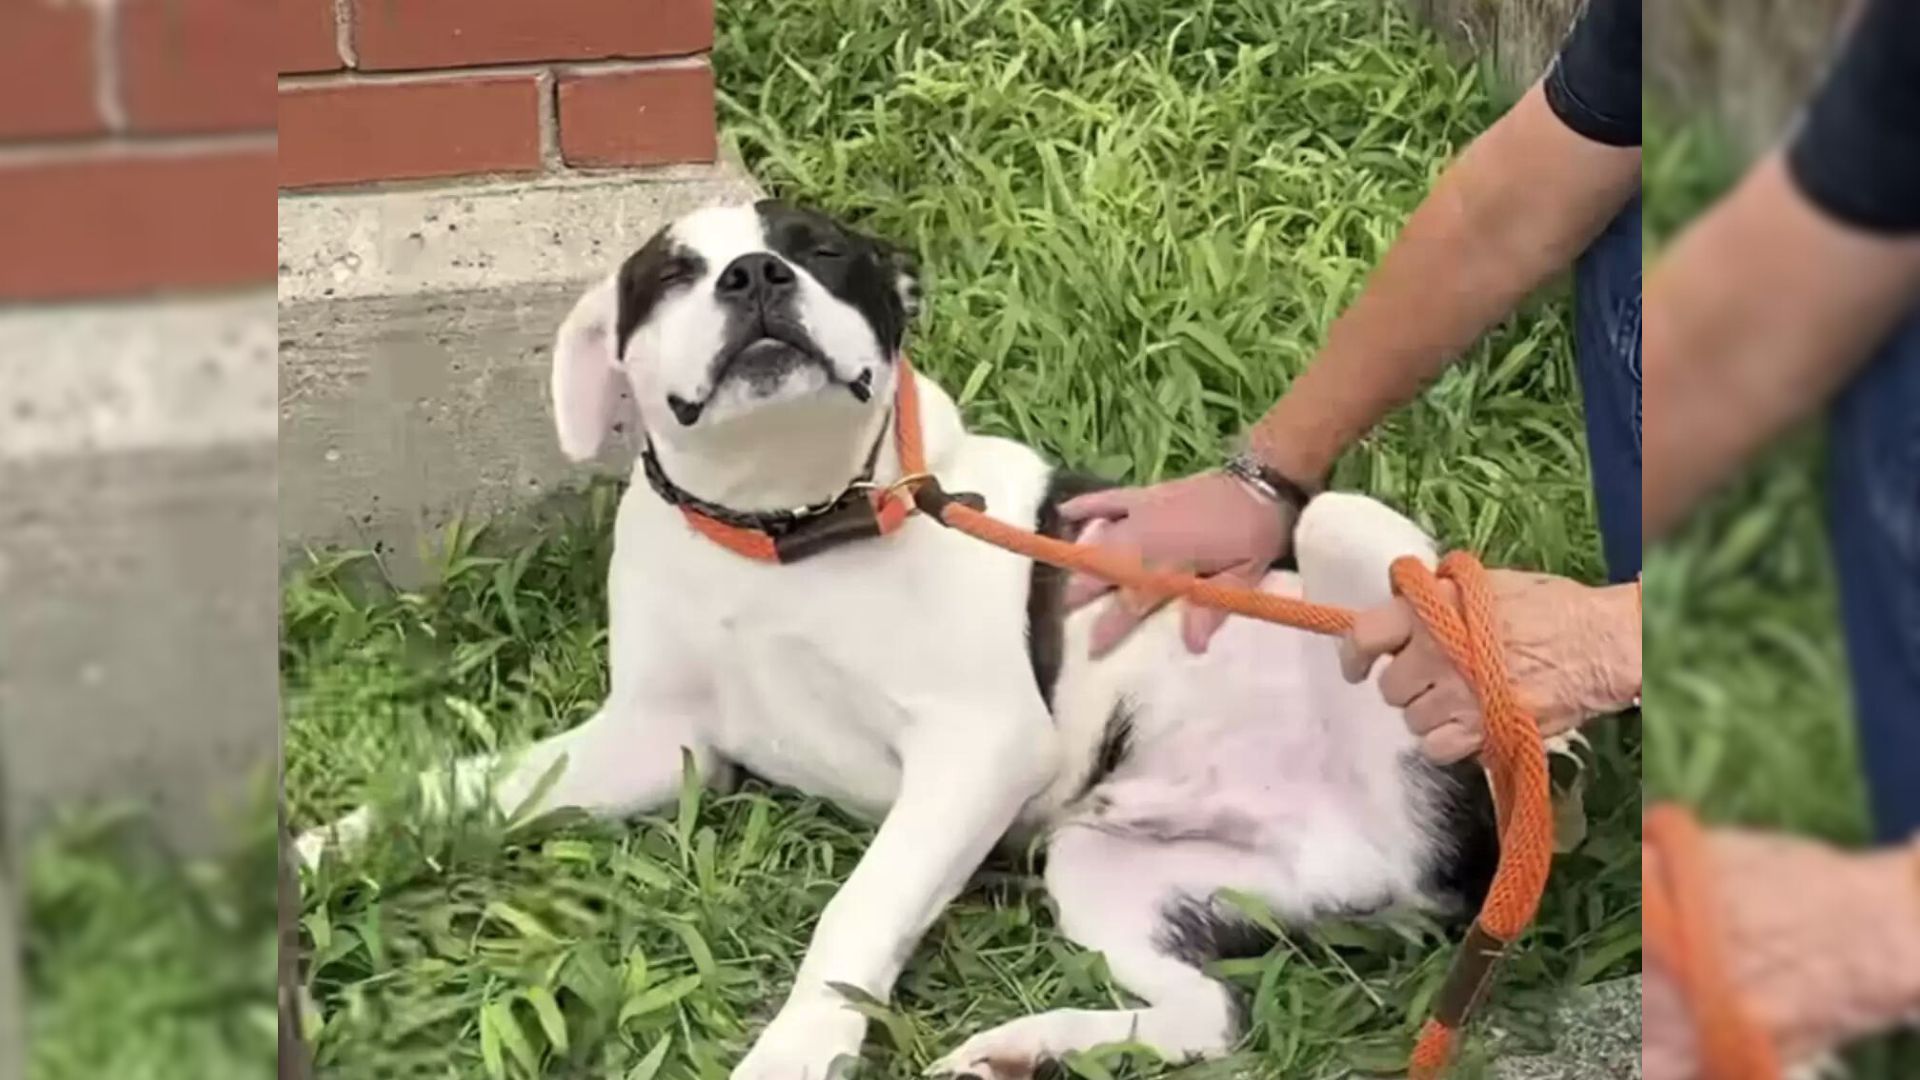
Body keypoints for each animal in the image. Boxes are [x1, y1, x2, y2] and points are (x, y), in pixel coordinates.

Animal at [299, 197, 1497, 1068]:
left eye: (824, 252)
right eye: (670, 275)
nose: (755, 277)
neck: (780, 523)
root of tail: (1437, 871)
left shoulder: (976, 749)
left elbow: (856, 913)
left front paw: (794, 1053)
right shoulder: (652, 742)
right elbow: (452, 792)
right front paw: (313, 858)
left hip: (1364, 558)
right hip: (1112, 867)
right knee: (1214, 1018)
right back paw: (1024, 1049)